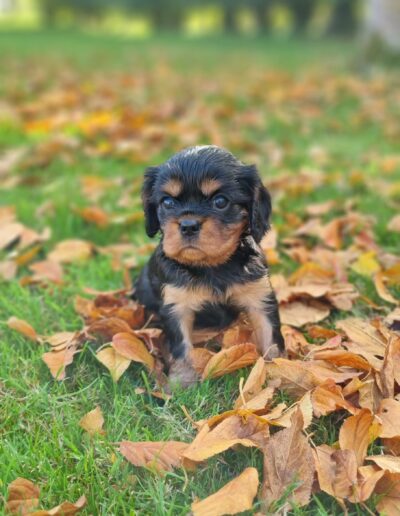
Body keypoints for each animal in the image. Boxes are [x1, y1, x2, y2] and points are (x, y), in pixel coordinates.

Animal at [135, 145, 284, 388]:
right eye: (167, 202)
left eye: (220, 201)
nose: (188, 225)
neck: (212, 266)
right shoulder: (176, 306)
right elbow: (181, 346)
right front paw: (182, 382)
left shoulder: (260, 297)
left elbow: (271, 337)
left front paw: (282, 369)